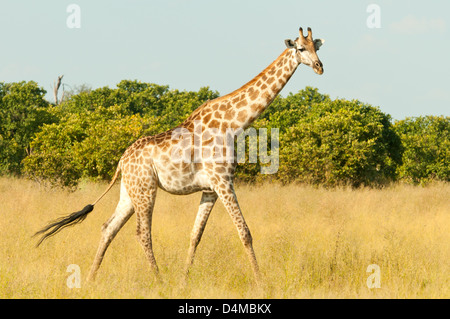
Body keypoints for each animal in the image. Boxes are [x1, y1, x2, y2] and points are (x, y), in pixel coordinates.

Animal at [34, 26, 324, 282]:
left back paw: (92, 278)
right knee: (142, 233)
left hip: (130, 191)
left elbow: (195, 235)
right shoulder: (223, 182)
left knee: (108, 227)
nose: (320, 67)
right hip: (146, 190)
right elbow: (245, 232)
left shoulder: (210, 189)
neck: (234, 123)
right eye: (300, 48)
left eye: (316, 47)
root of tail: (121, 162)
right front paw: (261, 282)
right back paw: (159, 281)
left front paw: (185, 279)